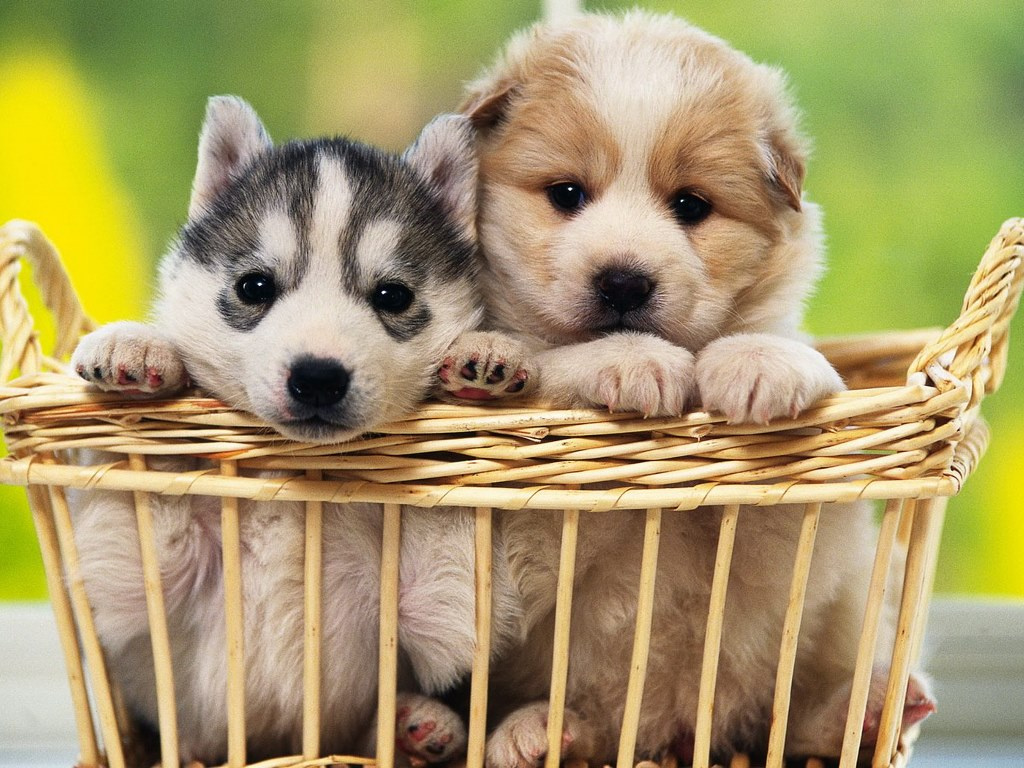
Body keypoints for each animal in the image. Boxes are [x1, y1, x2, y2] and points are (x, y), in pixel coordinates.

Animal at [70, 99, 520, 765]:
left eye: (392, 295)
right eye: (255, 286)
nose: (317, 377)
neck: (296, 478)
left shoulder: (435, 608)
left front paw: (482, 353)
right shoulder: (135, 594)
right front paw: (140, 347)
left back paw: (417, 728)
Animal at [448, 12, 937, 768]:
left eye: (690, 206)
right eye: (566, 195)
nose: (624, 281)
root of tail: (673, 733)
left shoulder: (780, 548)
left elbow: (779, 352)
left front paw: (758, 365)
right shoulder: (528, 557)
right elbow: (558, 355)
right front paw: (607, 361)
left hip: (839, 623)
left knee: (798, 712)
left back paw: (869, 709)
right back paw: (535, 733)